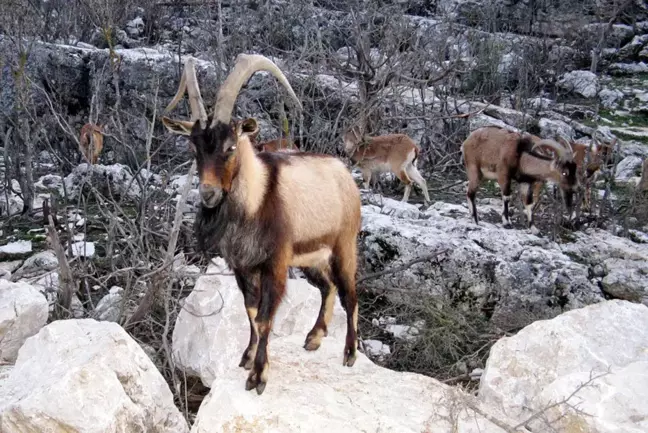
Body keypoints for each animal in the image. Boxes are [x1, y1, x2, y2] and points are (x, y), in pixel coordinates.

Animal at [160, 54, 362, 394]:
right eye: (194, 146)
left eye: (230, 146)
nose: (209, 193)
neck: (257, 198)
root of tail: (345, 174)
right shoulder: (242, 266)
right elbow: (251, 312)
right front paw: (246, 357)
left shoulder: (275, 264)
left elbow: (267, 318)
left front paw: (258, 377)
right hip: (310, 257)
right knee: (328, 286)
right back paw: (314, 337)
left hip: (343, 245)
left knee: (350, 291)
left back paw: (349, 353)